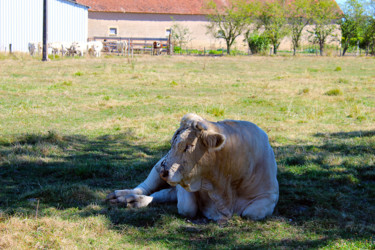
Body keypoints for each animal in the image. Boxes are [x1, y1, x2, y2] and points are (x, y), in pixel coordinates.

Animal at [108, 114, 280, 223]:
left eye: (189, 146)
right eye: (172, 143)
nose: (165, 171)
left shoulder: (269, 195)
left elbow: (251, 213)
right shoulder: (184, 182)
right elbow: (187, 208)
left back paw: (134, 200)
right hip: (157, 166)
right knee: (146, 188)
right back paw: (123, 196)